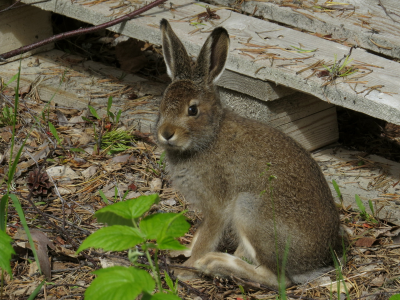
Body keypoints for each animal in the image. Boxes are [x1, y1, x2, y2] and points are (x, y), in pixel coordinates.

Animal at [155, 19, 340, 288]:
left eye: (192, 110)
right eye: (162, 105)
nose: (166, 133)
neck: (209, 137)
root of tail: (316, 261)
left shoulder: (217, 205)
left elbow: (207, 236)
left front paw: (187, 268)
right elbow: (200, 233)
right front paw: (181, 251)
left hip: (250, 210)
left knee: (277, 279)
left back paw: (216, 264)